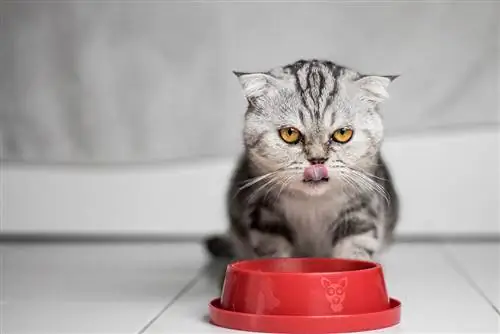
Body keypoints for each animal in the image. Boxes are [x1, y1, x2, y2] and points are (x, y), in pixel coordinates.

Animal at [203, 58, 398, 264]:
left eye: (343, 133)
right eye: (290, 133)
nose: (317, 159)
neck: (312, 206)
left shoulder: (361, 212)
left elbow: (356, 249)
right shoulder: (265, 216)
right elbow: (273, 253)